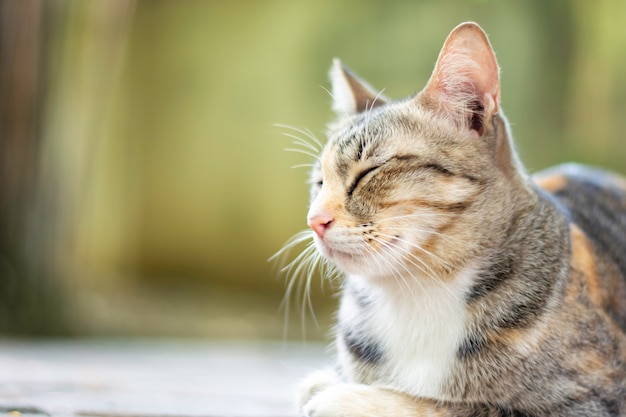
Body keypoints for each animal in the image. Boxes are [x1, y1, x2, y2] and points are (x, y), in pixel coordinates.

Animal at [284, 22, 626, 416]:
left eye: (370, 171)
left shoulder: (591, 400)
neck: (416, 293)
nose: (314, 220)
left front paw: (347, 396)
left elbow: (452, 404)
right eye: (319, 183)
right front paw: (326, 384)